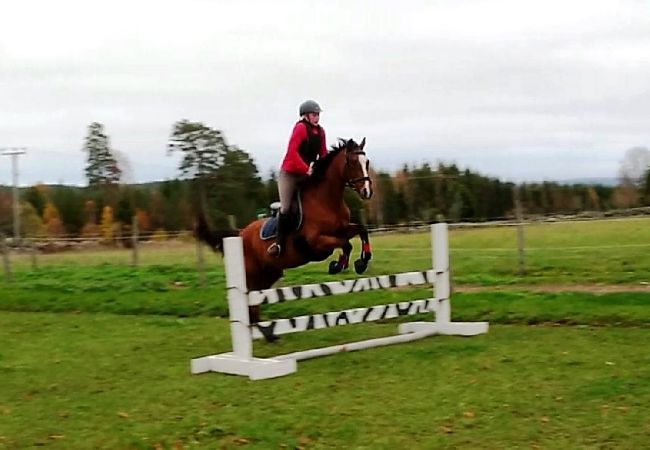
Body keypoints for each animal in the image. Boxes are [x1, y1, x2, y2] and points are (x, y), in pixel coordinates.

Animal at [195, 137, 372, 324]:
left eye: (366, 162)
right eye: (352, 162)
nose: (367, 192)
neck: (326, 201)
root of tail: (240, 234)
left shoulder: (343, 229)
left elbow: (361, 231)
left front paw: (362, 261)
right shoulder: (316, 242)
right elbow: (346, 244)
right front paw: (338, 265)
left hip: (269, 273)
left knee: (254, 304)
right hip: (251, 274)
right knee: (250, 302)